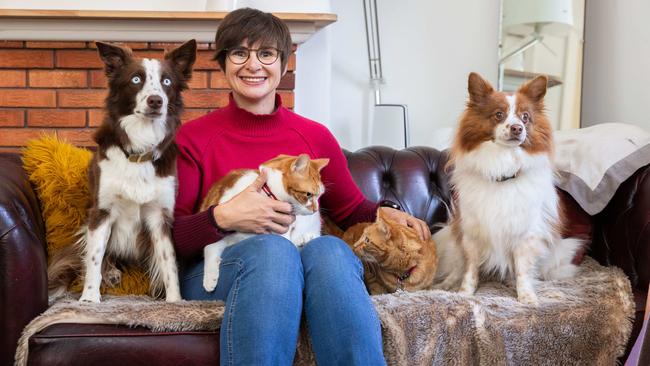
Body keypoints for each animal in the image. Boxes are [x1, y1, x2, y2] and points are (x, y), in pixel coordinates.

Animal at [47, 40, 195, 304]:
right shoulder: (101, 212)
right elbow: (94, 258)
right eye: (136, 79)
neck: (139, 151)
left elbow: (169, 264)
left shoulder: (160, 216)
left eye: (167, 81)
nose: (156, 101)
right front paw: (89, 298)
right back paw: (111, 273)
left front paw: (174, 301)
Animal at [199, 154, 330, 292]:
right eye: (308, 194)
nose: (316, 209)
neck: (267, 195)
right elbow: (210, 247)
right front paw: (209, 279)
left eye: (319, 195)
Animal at [432, 73, 580, 304]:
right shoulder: (471, 234)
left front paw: (527, 297)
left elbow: (523, 271)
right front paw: (465, 293)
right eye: (498, 115)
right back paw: (446, 285)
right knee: (456, 269)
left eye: (525, 117)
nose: (517, 128)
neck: (502, 170)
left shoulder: (526, 235)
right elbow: (470, 270)